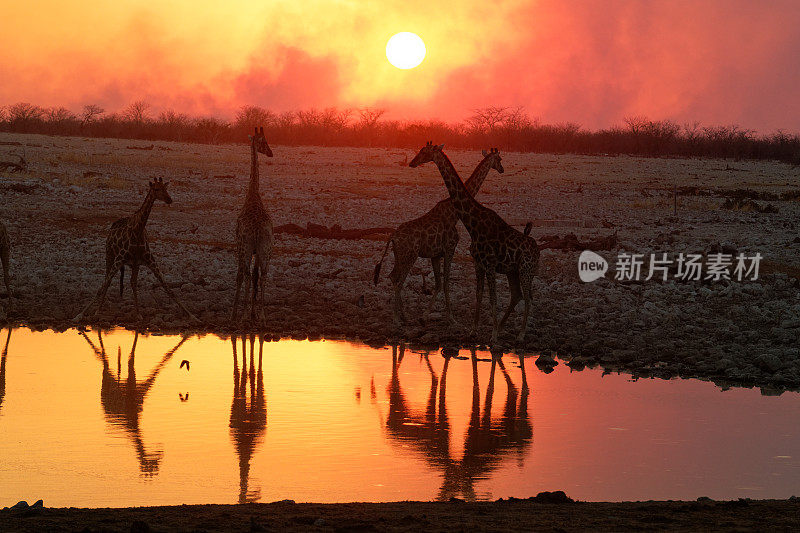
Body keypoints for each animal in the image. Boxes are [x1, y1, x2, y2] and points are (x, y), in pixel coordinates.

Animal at [73, 178, 195, 320]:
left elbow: (168, 288)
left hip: (134, 264)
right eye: (156, 189)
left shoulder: (148, 260)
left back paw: (137, 313)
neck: (138, 231)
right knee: (107, 280)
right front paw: (80, 315)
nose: (169, 199)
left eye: (166, 188)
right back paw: (99, 309)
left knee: (132, 282)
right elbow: (102, 286)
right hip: (109, 255)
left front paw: (193, 316)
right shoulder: (119, 259)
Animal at [376, 148, 504, 326]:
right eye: (499, 159)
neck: (454, 213)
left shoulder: (435, 254)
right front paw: (451, 318)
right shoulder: (450, 248)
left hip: (399, 255)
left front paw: (425, 315)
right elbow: (446, 282)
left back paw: (405, 316)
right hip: (410, 255)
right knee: (399, 280)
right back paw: (396, 318)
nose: (502, 169)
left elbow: (437, 284)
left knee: (393, 276)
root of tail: (393, 237)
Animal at [412, 142, 536, 344]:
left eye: (424, 152)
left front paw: (492, 335)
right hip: (514, 271)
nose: (412, 163)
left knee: (528, 297)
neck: (473, 223)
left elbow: (491, 297)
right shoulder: (477, 263)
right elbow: (478, 295)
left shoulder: (489, 264)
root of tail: (537, 250)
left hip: (526, 271)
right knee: (518, 295)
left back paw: (520, 334)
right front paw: (474, 331)